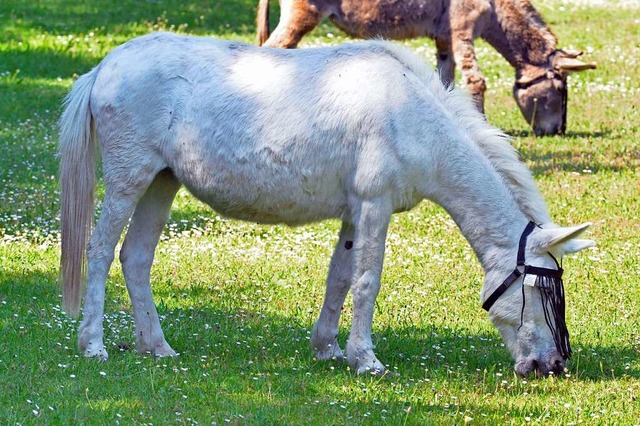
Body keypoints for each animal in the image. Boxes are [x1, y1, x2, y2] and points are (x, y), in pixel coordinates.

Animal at [61, 32, 596, 376]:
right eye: (542, 290)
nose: (552, 366)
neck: (410, 114)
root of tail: (106, 66)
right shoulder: (375, 205)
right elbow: (367, 282)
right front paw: (367, 360)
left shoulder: (354, 213)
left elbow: (340, 278)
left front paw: (328, 349)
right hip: (129, 180)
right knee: (100, 253)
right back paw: (93, 344)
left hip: (161, 183)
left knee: (135, 258)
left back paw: (157, 347)